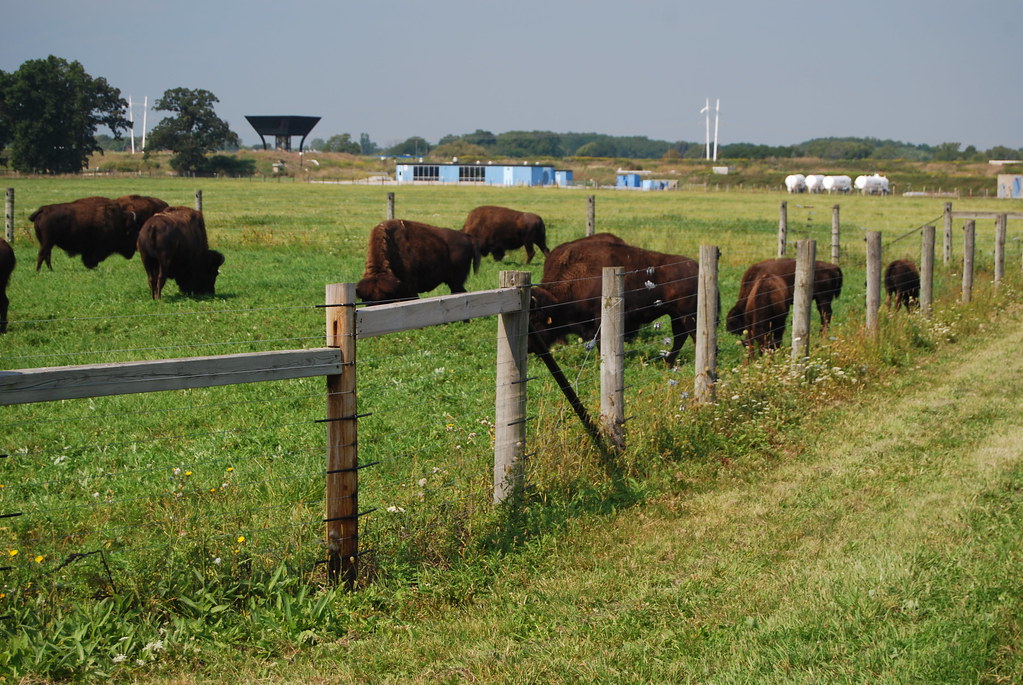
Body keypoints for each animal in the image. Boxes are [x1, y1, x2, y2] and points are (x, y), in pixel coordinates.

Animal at [529, 234, 699, 365]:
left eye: (535, 321)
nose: (530, 348)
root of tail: (696, 267)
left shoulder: (600, 319)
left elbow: (600, 342)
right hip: (676, 315)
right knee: (680, 336)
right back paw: (668, 363)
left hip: (688, 315)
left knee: (692, 335)